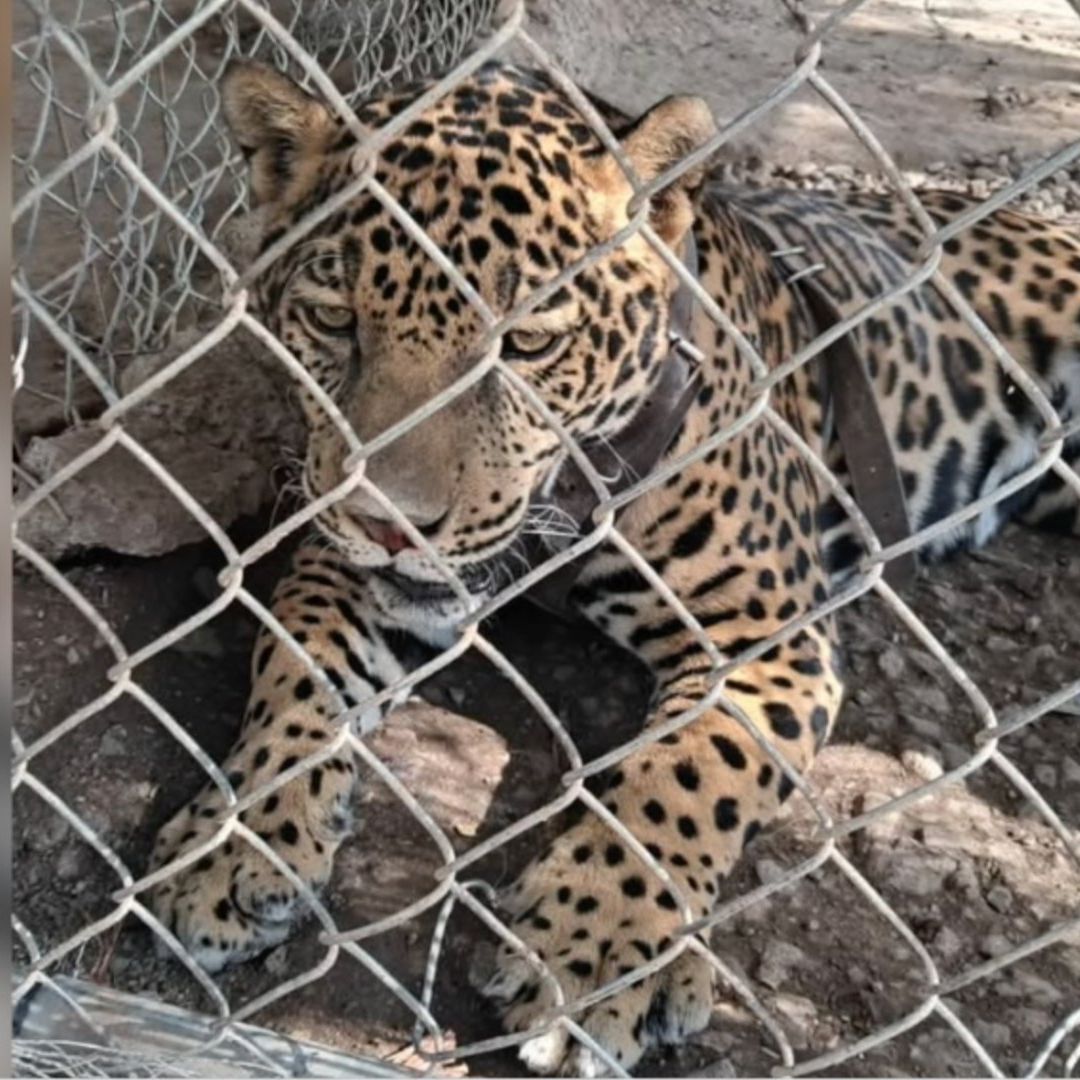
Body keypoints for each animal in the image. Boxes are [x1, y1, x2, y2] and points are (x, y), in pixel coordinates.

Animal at [148, 58, 1080, 1075]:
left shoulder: (763, 639)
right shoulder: (335, 557)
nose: (394, 525)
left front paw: (591, 950)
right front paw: (232, 843)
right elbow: (293, 675)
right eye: (332, 320)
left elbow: (682, 775)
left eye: (527, 344)